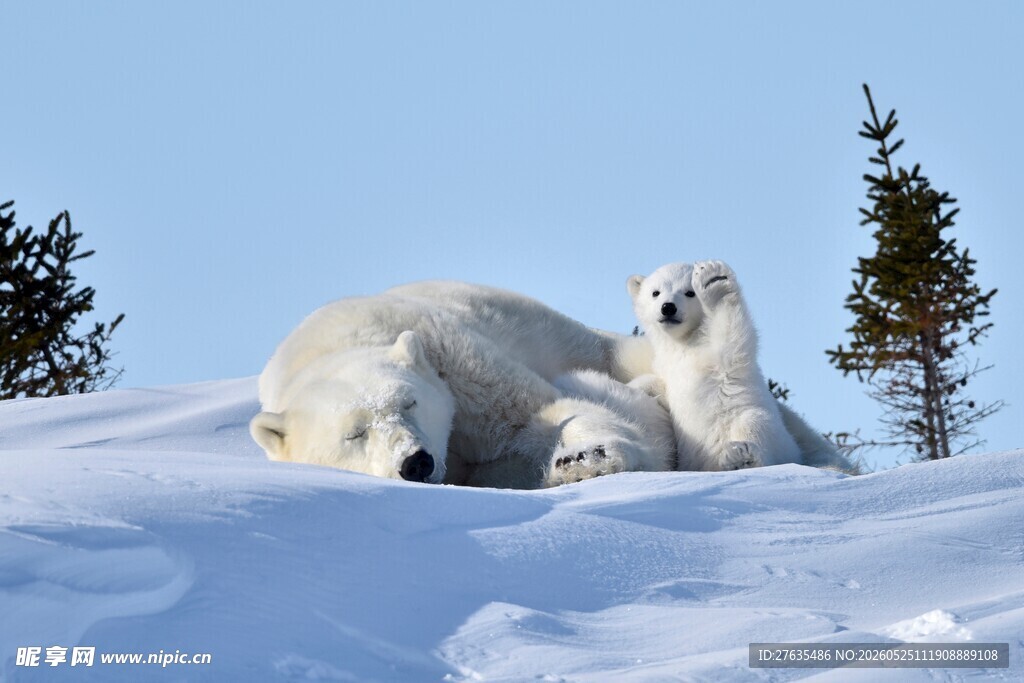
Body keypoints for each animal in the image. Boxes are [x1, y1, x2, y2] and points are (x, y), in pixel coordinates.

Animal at [250, 281, 674, 489]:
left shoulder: (453, 361)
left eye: (410, 402)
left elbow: (538, 413)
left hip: (579, 340)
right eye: (354, 434)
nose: (415, 462)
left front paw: (587, 458)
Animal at [627, 260, 852, 472]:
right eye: (655, 292)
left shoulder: (717, 356)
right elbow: (657, 385)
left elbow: (730, 339)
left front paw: (714, 282)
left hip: (763, 429)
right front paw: (634, 388)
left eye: (689, 292)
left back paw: (741, 457)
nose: (668, 307)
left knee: (755, 426)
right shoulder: (666, 367)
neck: (684, 342)